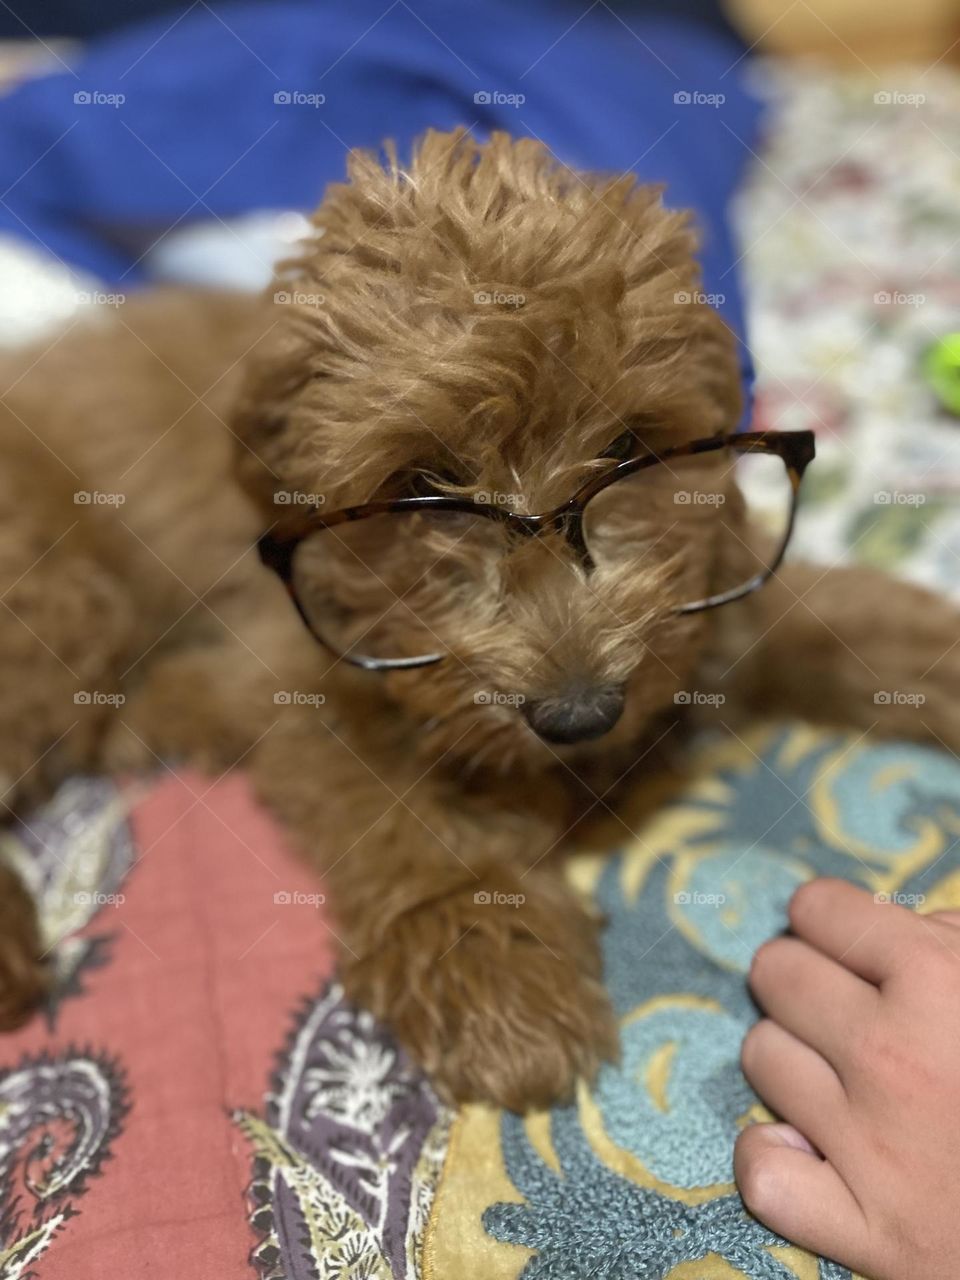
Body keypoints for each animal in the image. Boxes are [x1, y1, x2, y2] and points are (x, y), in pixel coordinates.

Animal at [1, 129, 960, 1111]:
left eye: (626, 449)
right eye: (422, 486)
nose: (582, 717)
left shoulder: (711, 598)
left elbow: (837, 619)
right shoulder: (295, 678)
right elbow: (408, 818)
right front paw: (491, 969)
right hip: (60, 604)